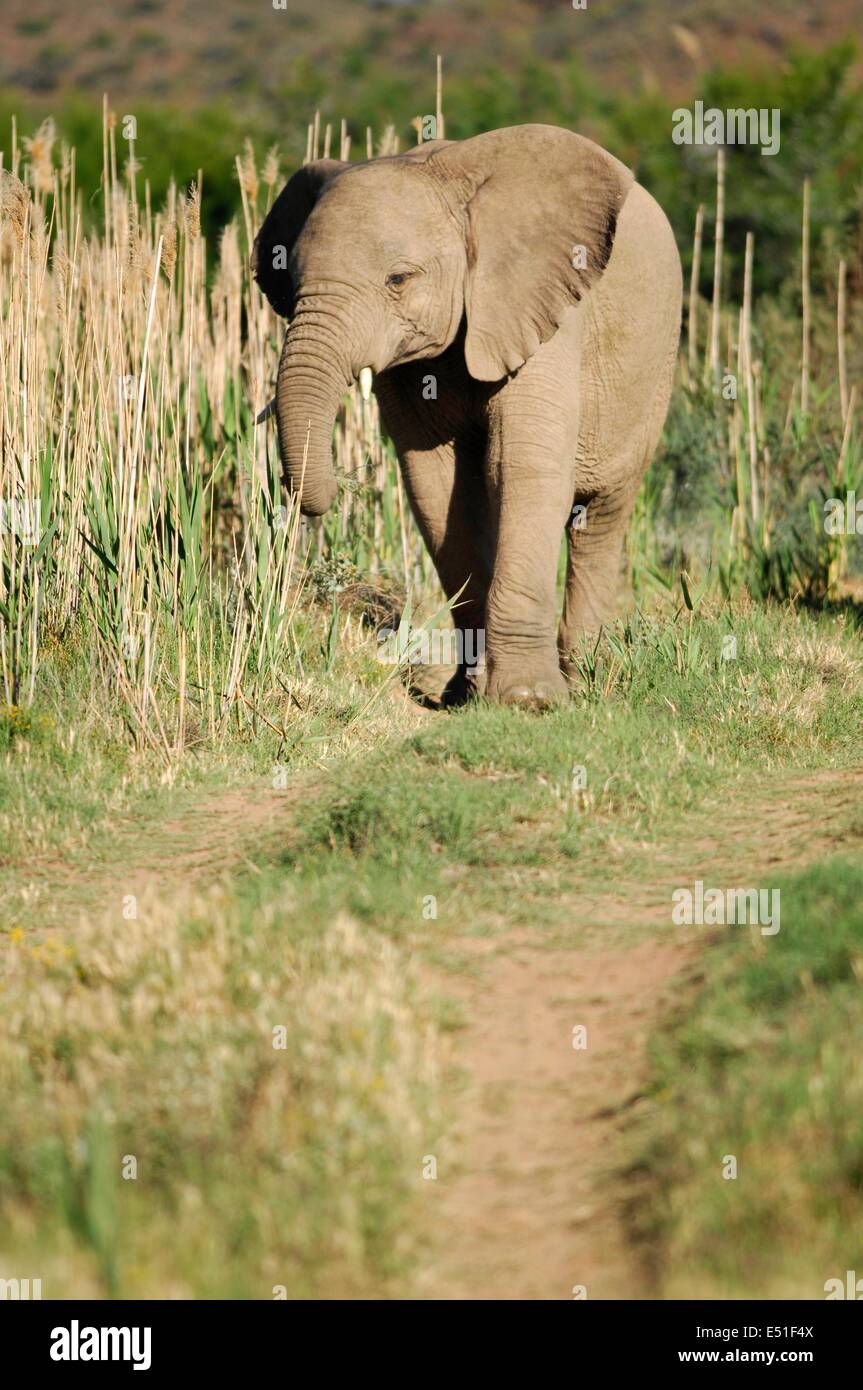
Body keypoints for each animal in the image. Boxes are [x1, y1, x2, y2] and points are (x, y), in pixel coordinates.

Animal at [252, 120, 683, 711]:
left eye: (398, 280)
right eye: (291, 284)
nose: (331, 493)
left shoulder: (539, 303)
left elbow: (522, 468)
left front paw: (528, 700)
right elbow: (434, 485)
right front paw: (465, 694)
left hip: (651, 370)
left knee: (600, 514)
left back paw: (590, 676)